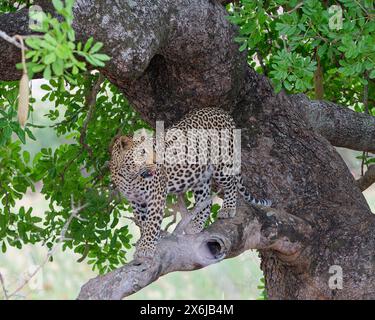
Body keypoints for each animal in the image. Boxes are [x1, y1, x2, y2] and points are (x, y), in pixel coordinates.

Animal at [109, 107, 274, 260]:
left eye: (154, 149)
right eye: (142, 152)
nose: (158, 163)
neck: (129, 175)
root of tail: (221, 111)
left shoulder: (156, 196)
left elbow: (151, 224)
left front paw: (146, 248)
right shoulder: (136, 200)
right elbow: (143, 223)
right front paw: (144, 242)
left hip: (221, 165)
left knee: (231, 184)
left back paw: (228, 209)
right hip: (200, 176)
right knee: (206, 201)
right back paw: (196, 226)